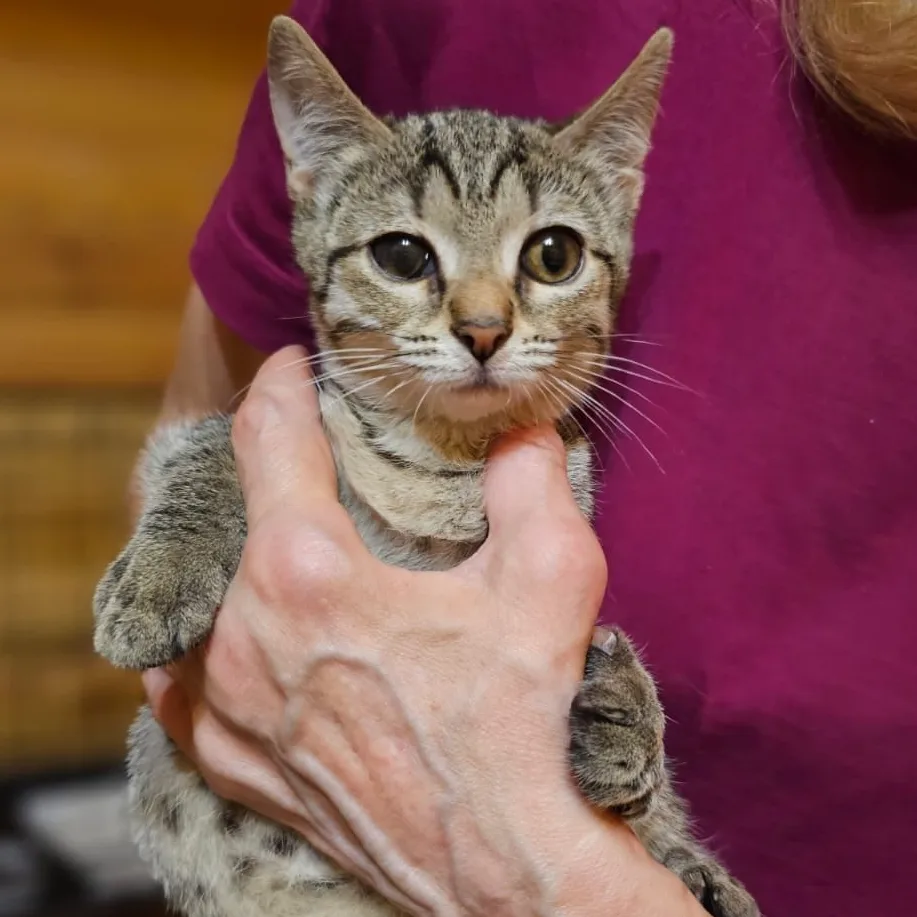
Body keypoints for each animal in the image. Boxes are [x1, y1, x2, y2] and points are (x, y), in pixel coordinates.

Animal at [93, 16, 760, 916]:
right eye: (402, 256)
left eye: (553, 255)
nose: (482, 328)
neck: (441, 460)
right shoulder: (233, 419)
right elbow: (204, 450)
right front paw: (162, 575)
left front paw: (633, 713)